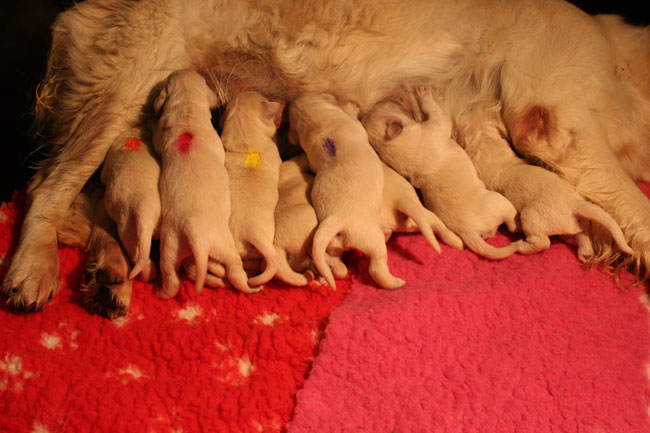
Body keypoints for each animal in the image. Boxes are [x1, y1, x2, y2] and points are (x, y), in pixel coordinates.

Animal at [153, 70, 260, 296]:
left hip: (169, 247)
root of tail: (194, 229)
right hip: (225, 245)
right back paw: (250, 287)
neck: (185, 109)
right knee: (235, 271)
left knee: (172, 277)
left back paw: (161, 291)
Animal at [286, 93, 402, 290]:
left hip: (333, 244)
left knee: (336, 262)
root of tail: (337, 219)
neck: (314, 121)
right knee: (377, 266)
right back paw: (396, 282)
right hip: (371, 238)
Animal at [362, 86, 520, 258]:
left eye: (383, 102)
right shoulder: (435, 126)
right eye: (395, 102)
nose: (401, 91)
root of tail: (468, 232)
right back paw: (516, 225)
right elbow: (437, 113)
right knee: (510, 220)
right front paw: (423, 93)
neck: (393, 146)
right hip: (498, 202)